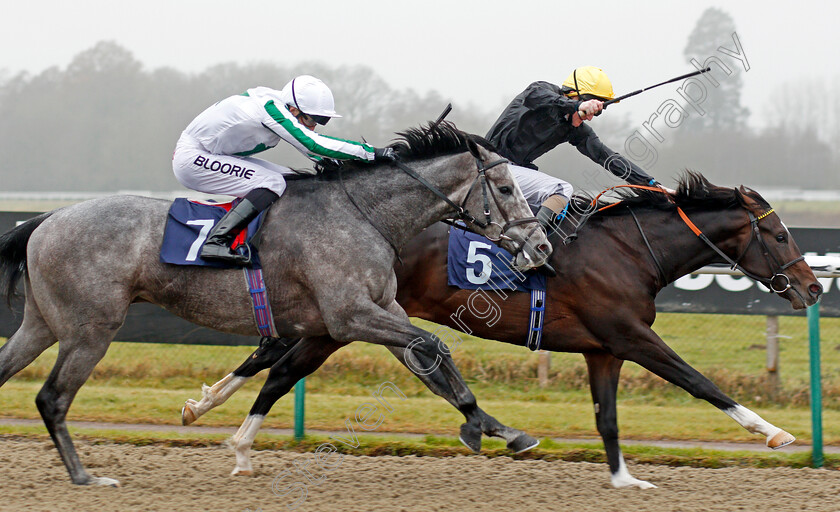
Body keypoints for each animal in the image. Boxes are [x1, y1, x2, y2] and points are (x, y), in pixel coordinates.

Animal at [0, 122, 552, 486]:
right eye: (506, 188)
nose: (542, 246)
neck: (364, 215)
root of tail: (46, 219)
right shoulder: (349, 316)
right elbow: (434, 345)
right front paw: (479, 428)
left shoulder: (380, 311)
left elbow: (433, 364)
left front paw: (500, 429)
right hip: (90, 329)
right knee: (53, 397)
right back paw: (85, 477)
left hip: (40, 324)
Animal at [184, 174, 820, 490]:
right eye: (780, 235)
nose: (813, 288)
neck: (630, 249)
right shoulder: (632, 336)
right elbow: (701, 383)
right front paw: (775, 433)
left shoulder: (605, 350)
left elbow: (608, 419)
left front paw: (623, 480)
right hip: (346, 319)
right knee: (283, 368)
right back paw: (237, 439)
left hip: (344, 318)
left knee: (276, 357)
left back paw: (210, 410)